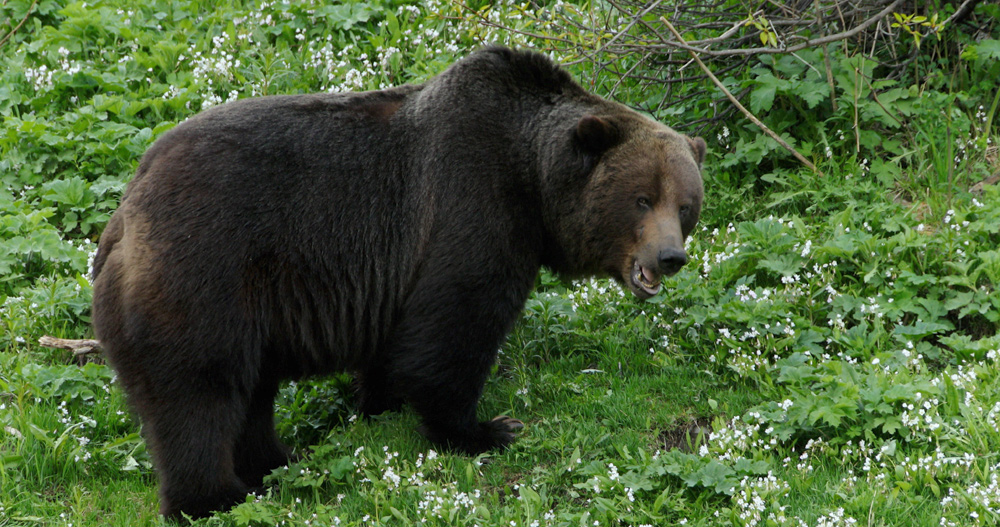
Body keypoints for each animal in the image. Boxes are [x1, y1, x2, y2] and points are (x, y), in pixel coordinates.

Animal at [90, 46, 708, 520]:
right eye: (642, 198)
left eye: (685, 204)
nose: (669, 256)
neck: (532, 179)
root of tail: (124, 211)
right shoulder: (471, 207)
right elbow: (453, 328)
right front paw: (485, 429)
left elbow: (395, 349)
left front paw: (379, 404)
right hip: (202, 273)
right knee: (200, 392)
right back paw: (214, 497)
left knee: (251, 393)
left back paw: (277, 464)